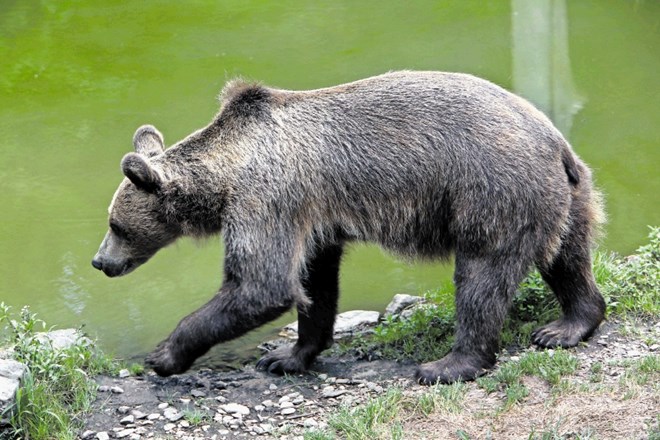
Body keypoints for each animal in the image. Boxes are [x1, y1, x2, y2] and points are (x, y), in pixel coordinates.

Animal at [90, 71, 604, 384]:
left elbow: (261, 285)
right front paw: (286, 356)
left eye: (115, 225)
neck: (226, 174)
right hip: (568, 196)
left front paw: (165, 354)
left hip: (492, 192)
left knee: (482, 276)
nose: (99, 261)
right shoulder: (313, 218)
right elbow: (314, 283)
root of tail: (555, 142)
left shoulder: (267, 198)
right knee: (568, 259)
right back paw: (567, 325)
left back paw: (448, 363)